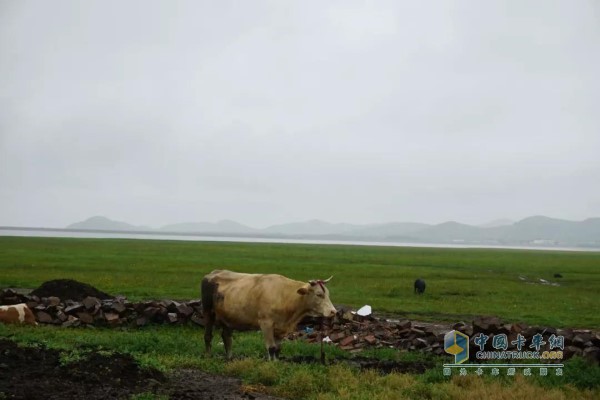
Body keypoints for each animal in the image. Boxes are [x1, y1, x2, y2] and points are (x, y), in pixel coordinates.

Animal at [203, 270, 338, 360]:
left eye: (327, 294)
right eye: (319, 294)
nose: (333, 311)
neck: (285, 296)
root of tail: (213, 273)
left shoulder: (280, 327)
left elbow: (277, 349)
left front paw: (276, 363)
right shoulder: (266, 323)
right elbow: (271, 347)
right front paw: (270, 365)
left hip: (228, 317)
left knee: (227, 337)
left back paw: (229, 357)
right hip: (208, 312)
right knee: (208, 336)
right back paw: (208, 356)